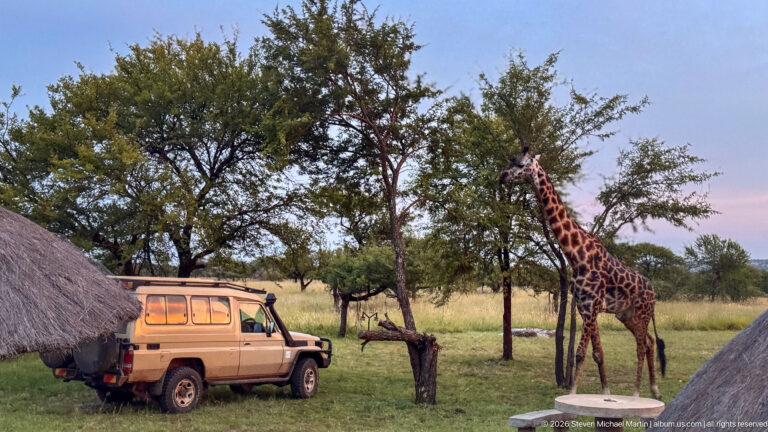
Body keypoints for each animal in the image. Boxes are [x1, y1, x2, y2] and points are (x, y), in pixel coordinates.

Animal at [499, 148, 666, 399]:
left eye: (520, 164)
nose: (502, 176)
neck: (575, 254)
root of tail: (654, 292)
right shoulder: (584, 306)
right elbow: (598, 354)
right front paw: (606, 393)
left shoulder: (591, 305)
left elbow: (579, 353)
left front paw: (572, 394)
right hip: (626, 315)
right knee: (648, 342)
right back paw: (654, 390)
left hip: (642, 313)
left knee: (641, 346)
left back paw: (638, 394)